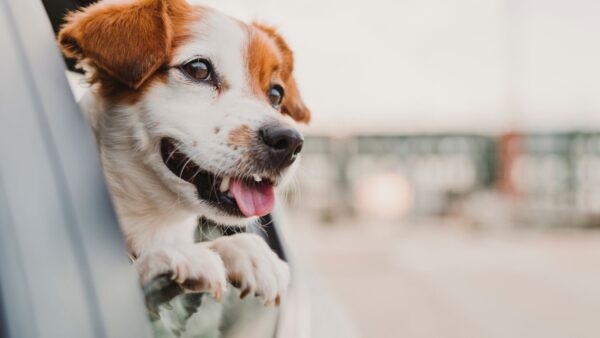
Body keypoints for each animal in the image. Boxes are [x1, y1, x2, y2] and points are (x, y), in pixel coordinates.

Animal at [57, 0, 310, 336]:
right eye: (199, 69)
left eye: (276, 94)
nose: (290, 141)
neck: (156, 222)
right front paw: (170, 256)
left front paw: (249, 251)